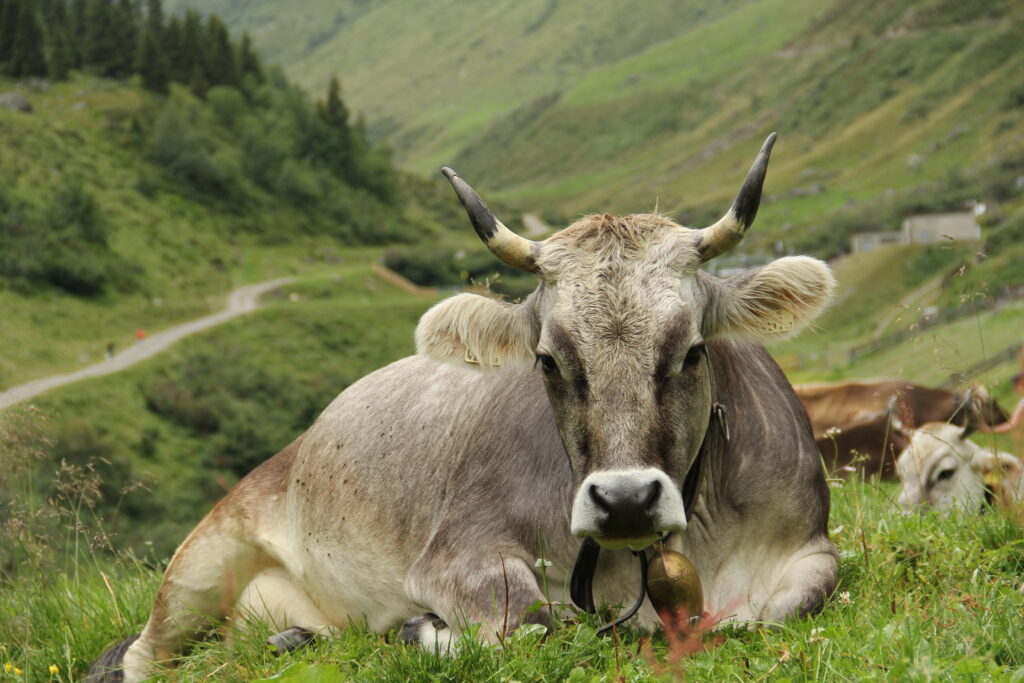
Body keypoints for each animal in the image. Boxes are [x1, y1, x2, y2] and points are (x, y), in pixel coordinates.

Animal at [88, 135, 839, 683]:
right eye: (547, 360)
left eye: (692, 350)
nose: (625, 500)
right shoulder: (455, 554)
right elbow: (534, 624)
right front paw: (422, 629)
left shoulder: (810, 546)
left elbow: (780, 606)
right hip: (200, 561)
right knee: (144, 657)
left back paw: (294, 636)